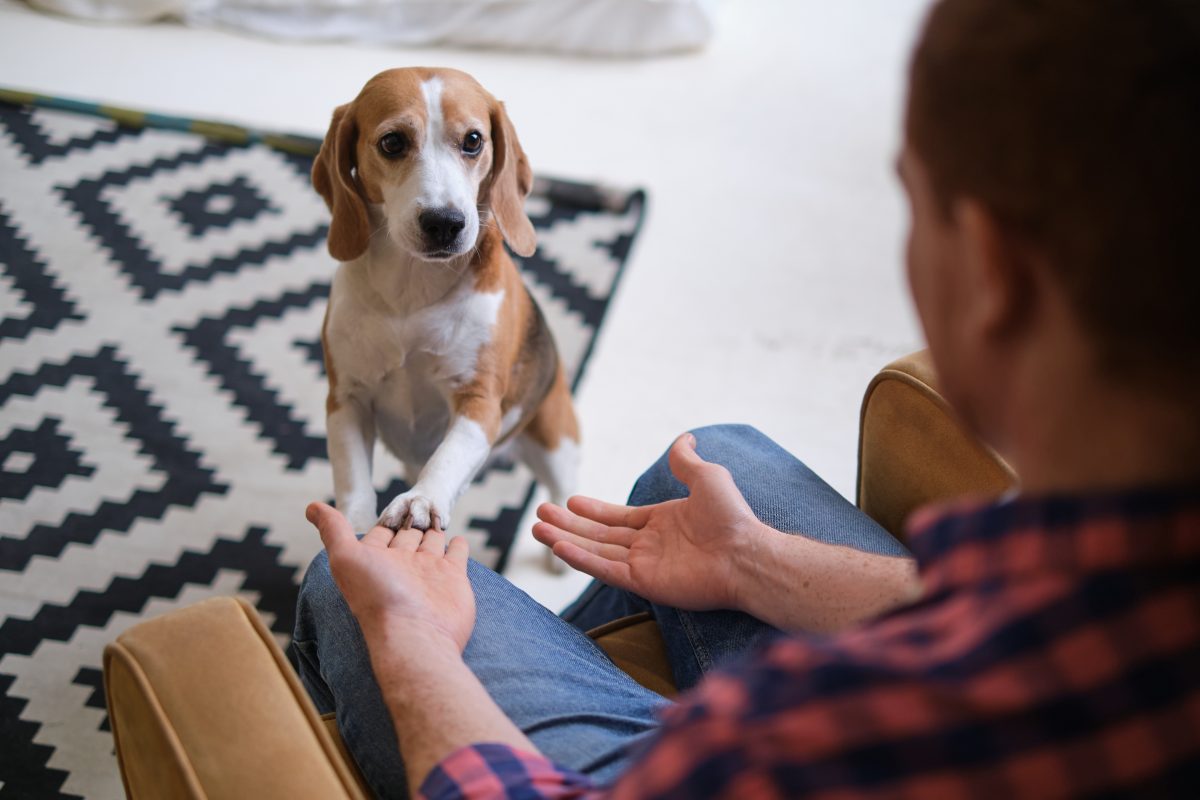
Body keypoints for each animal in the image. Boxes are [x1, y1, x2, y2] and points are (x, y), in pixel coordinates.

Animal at [314, 67, 580, 563]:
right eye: (392, 142)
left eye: (473, 140)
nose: (444, 222)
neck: (411, 289)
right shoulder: (347, 399)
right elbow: (352, 475)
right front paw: (353, 528)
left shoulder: (479, 402)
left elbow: (448, 457)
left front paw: (422, 499)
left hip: (555, 439)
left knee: (564, 496)